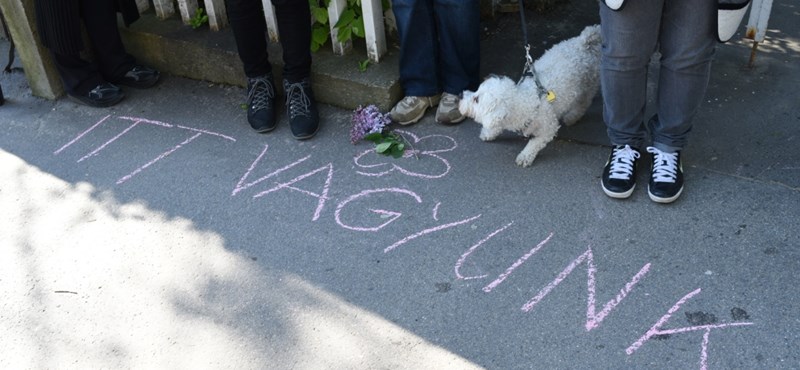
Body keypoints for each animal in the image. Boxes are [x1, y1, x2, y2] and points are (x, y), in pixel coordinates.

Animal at [456, 24, 600, 166]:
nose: (461, 95)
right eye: (476, 91)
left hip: (588, 86)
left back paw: (572, 116)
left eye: (476, 99)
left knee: (583, 103)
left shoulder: (549, 127)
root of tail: (584, 42)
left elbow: (535, 142)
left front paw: (525, 156)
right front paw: (489, 133)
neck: (525, 102)